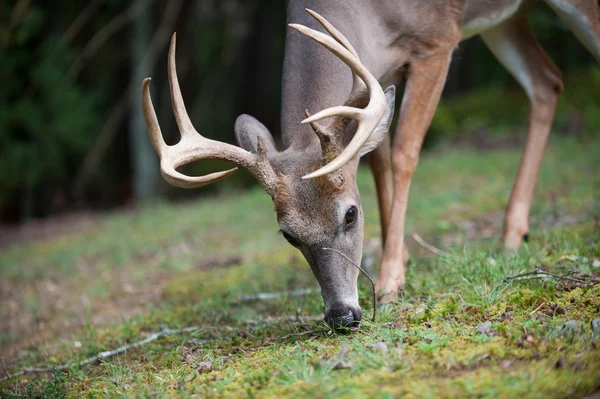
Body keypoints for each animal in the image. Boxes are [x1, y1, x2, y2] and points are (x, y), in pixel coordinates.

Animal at [143, 0, 600, 330]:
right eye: (288, 235)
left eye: (350, 214)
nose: (342, 316)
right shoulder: (376, 72)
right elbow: (376, 164)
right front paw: (398, 262)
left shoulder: (437, 39)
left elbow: (403, 153)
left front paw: (391, 279)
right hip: (506, 18)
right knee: (547, 81)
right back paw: (512, 232)